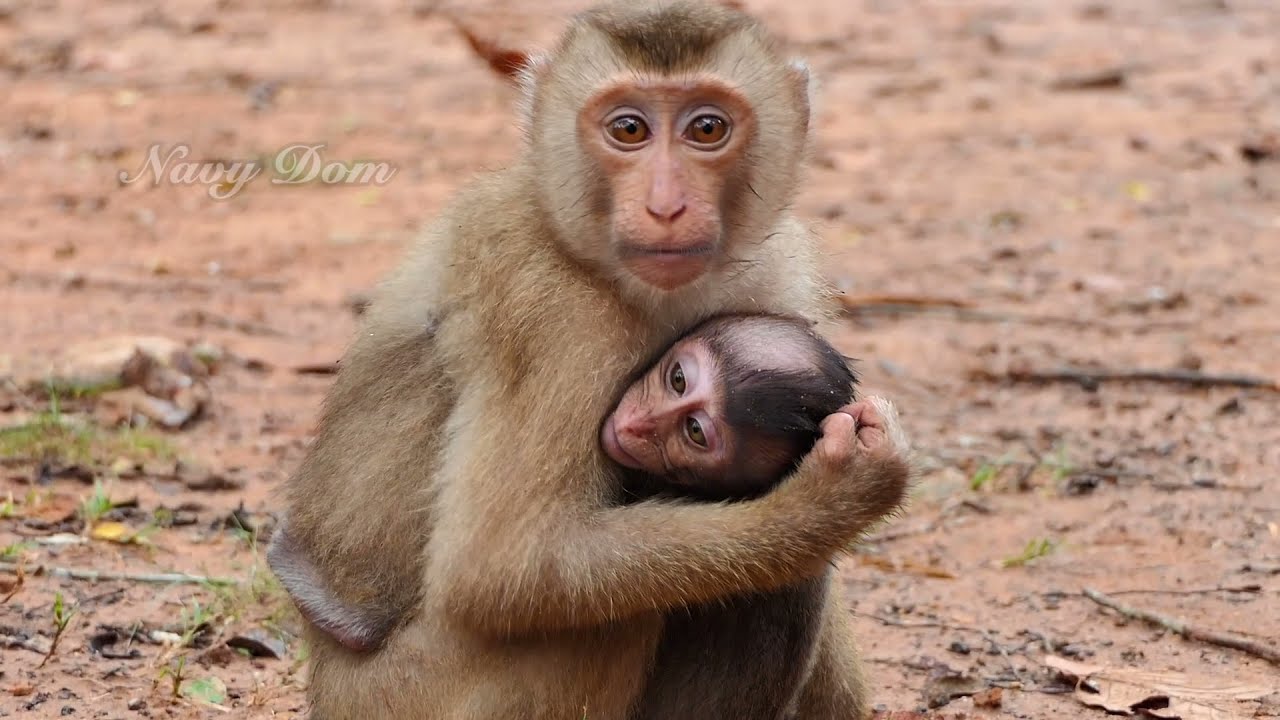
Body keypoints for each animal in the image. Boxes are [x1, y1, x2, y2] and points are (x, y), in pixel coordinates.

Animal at [268, 3, 912, 719]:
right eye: (628, 129)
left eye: (707, 128)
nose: (666, 206)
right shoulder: (553, 311)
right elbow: (501, 571)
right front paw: (836, 500)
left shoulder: (778, 269)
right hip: (408, 696)